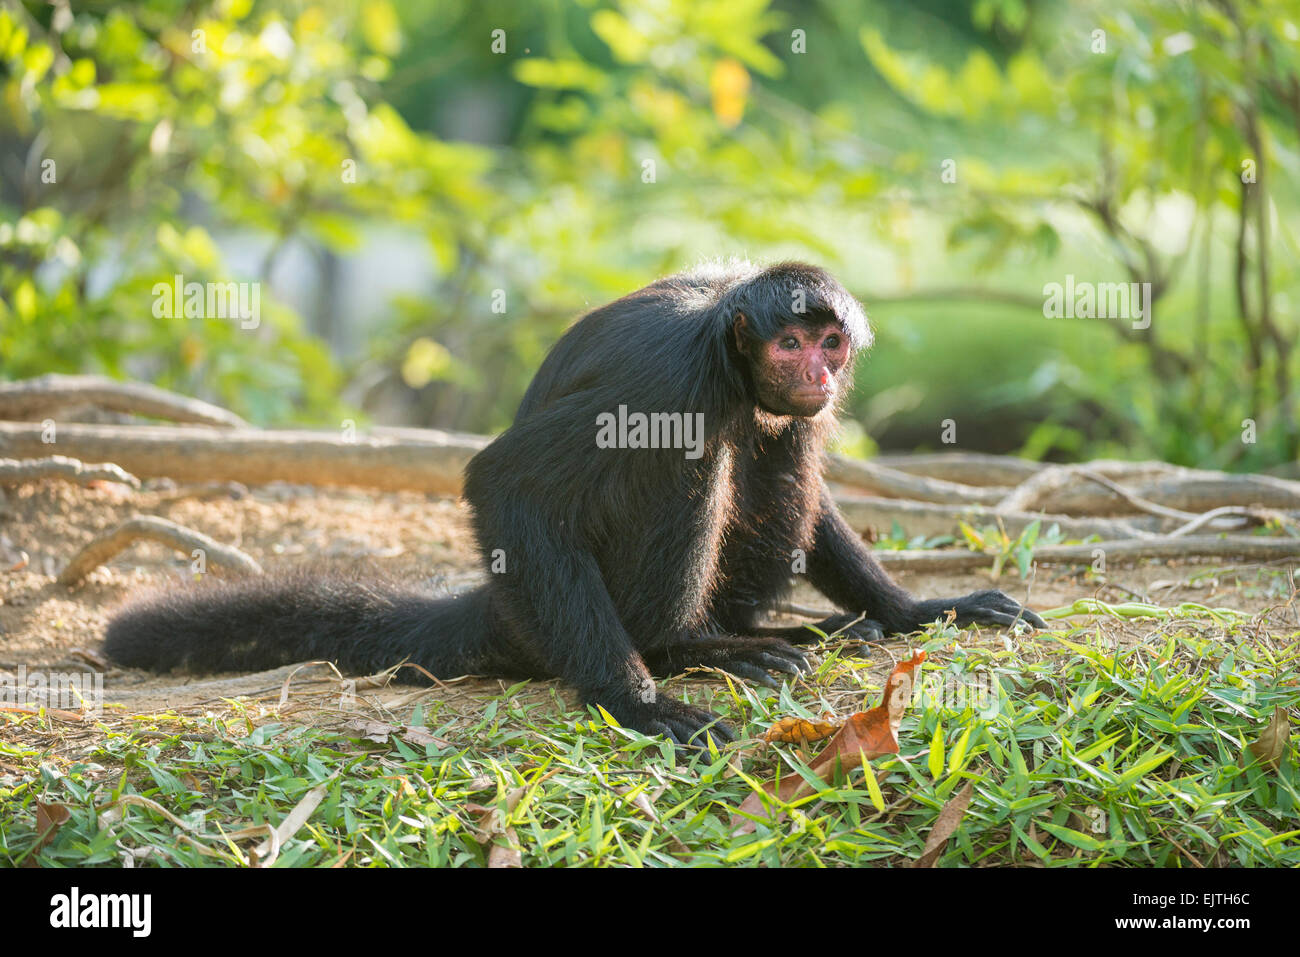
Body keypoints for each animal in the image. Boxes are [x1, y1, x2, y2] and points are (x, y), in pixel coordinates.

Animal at [106, 263, 1050, 748]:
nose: (817, 369)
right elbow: (505, 480)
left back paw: (798, 627)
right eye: (790, 341)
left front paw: (920, 607)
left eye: (829, 342)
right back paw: (686, 648)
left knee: (777, 444)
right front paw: (636, 700)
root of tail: (501, 609)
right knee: (698, 460)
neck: (721, 336)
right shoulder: (667, 379)